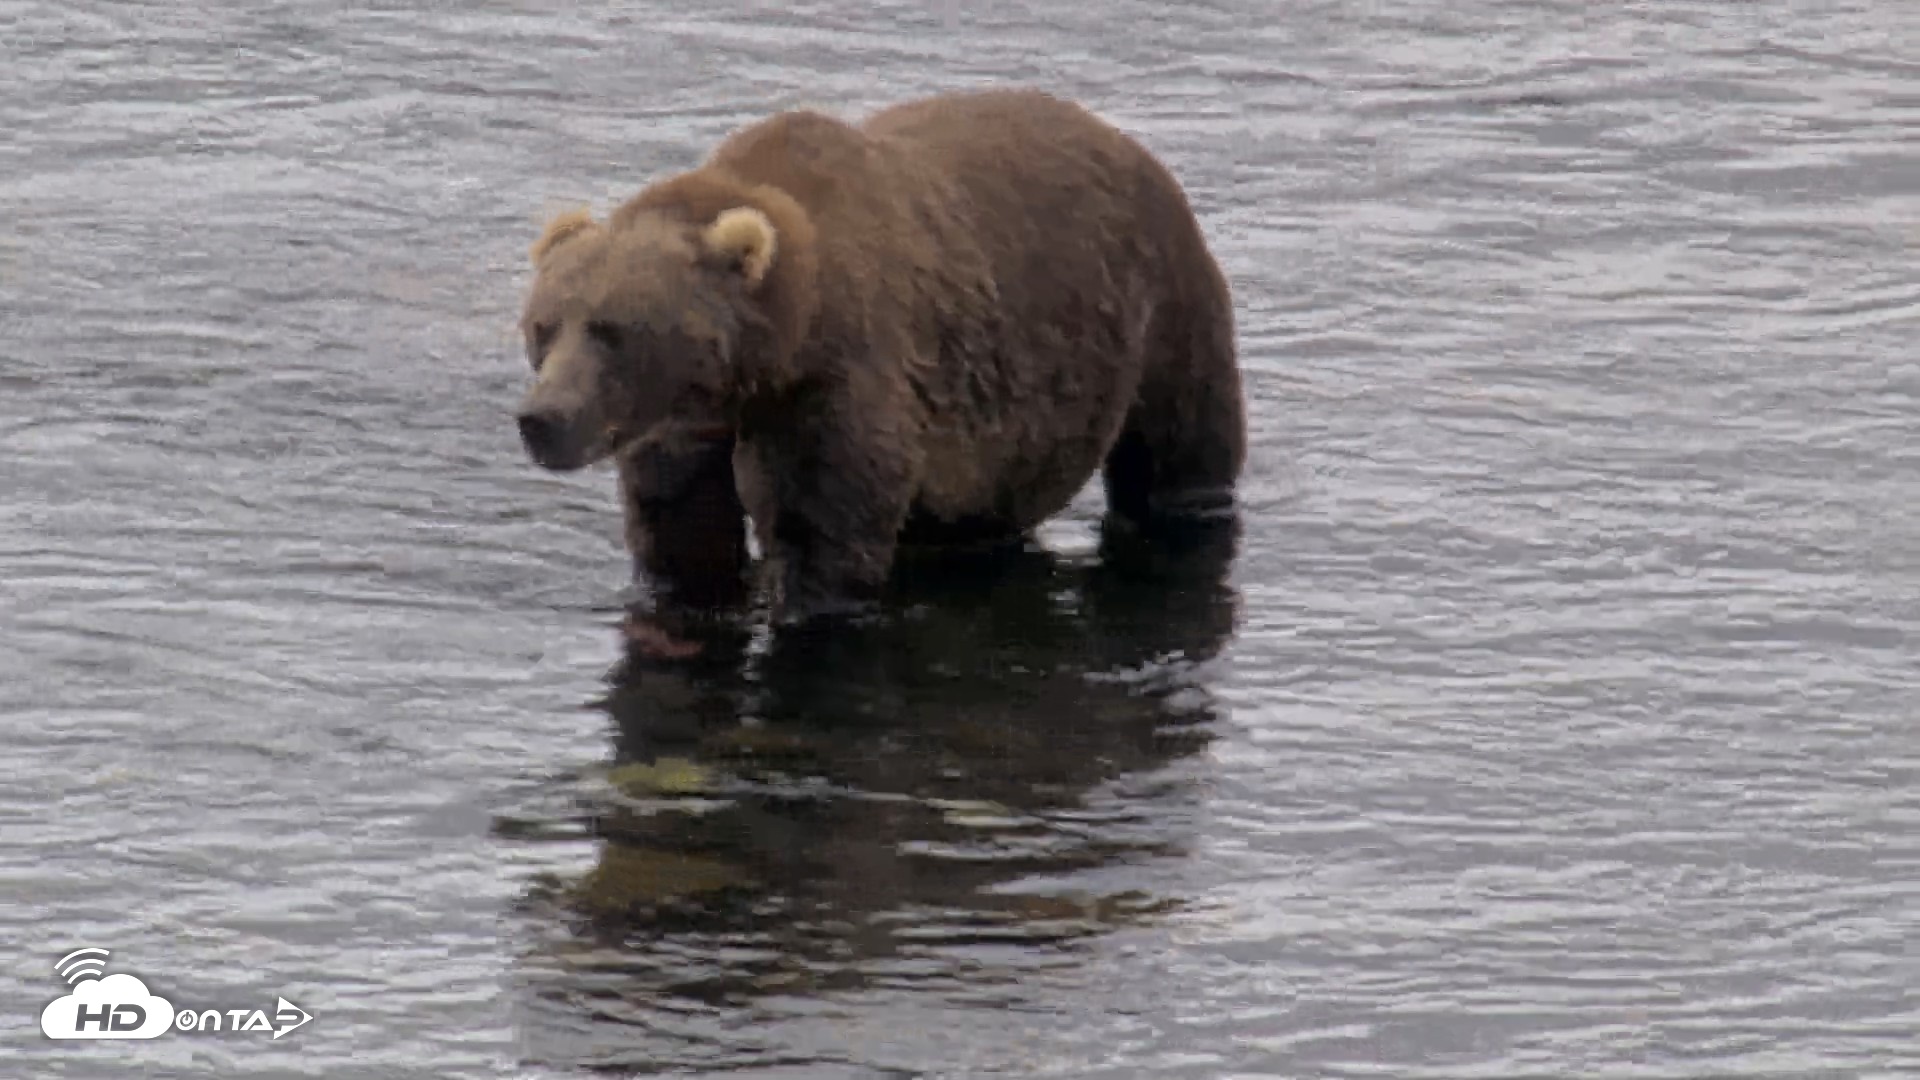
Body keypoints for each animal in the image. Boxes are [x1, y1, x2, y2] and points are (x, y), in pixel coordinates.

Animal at [513, 88, 1246, 623]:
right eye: (543, 328)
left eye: (611, 329)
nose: (542, 418)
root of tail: (1126, 141)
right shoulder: (692, 425)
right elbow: (682, 526)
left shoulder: (838, 380)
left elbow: (821, 526)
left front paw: (802, 603)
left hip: (1164, 308)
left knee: (1180, 445)